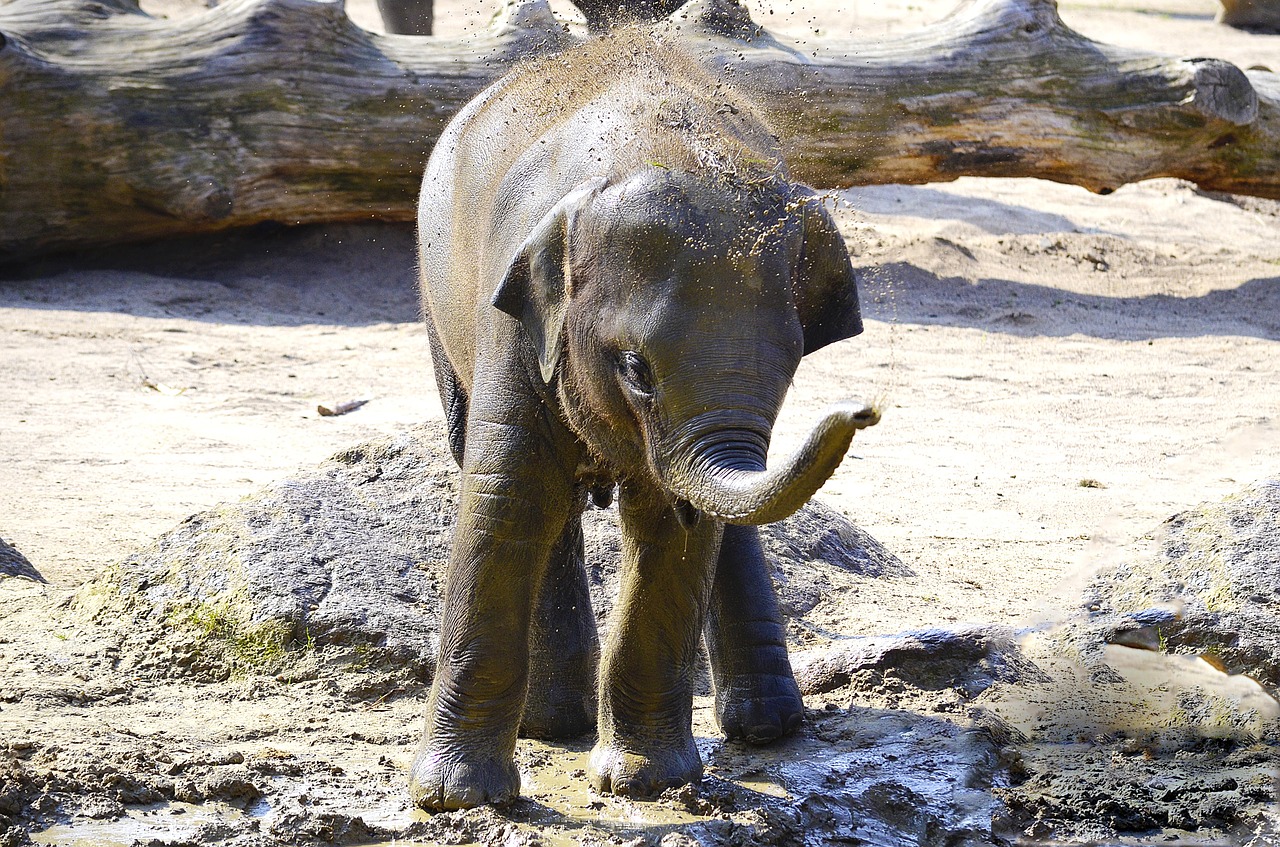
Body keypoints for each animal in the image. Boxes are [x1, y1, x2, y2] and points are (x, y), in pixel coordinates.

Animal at [414, 29, 875, 808]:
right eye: (636, 369)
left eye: (790, 370)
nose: (864, 410)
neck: (658, 143)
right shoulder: (513, 321)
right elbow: (507, 492)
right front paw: (456, 797)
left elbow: (671, 519)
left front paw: (642, 782)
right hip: (434, 297)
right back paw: (554, 723)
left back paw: (763, 726)